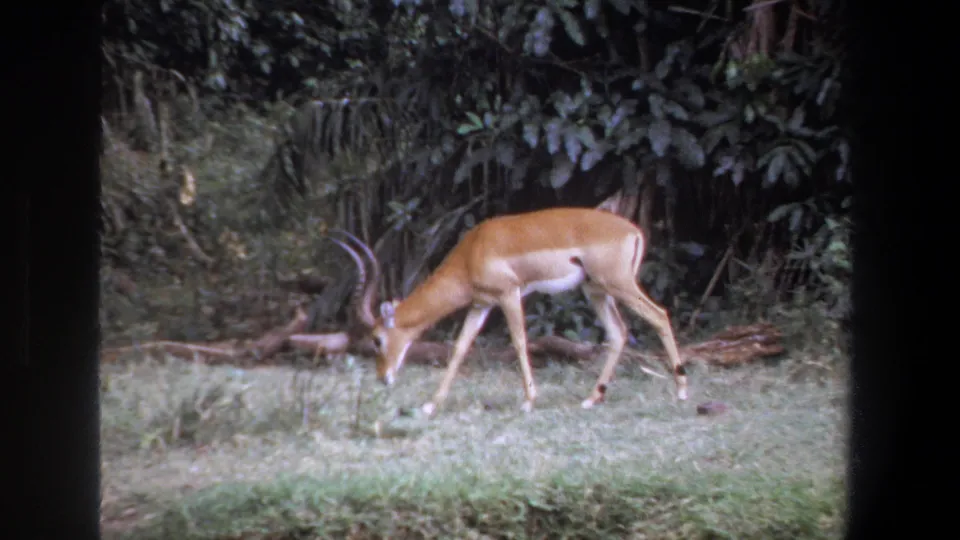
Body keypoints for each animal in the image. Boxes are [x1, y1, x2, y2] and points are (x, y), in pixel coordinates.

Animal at [329, 207, 688, 416]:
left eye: (377, 339)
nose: (383, 378)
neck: (473, 250)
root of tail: (633, 230)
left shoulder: (509, 294)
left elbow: (518, 341)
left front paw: (529, 401)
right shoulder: (481, 304)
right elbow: (459, 348)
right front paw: (430, 405)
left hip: (617, 284)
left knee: (659, 315)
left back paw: (682, 392)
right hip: (596, 290)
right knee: (619, 333)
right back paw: (591, 398)